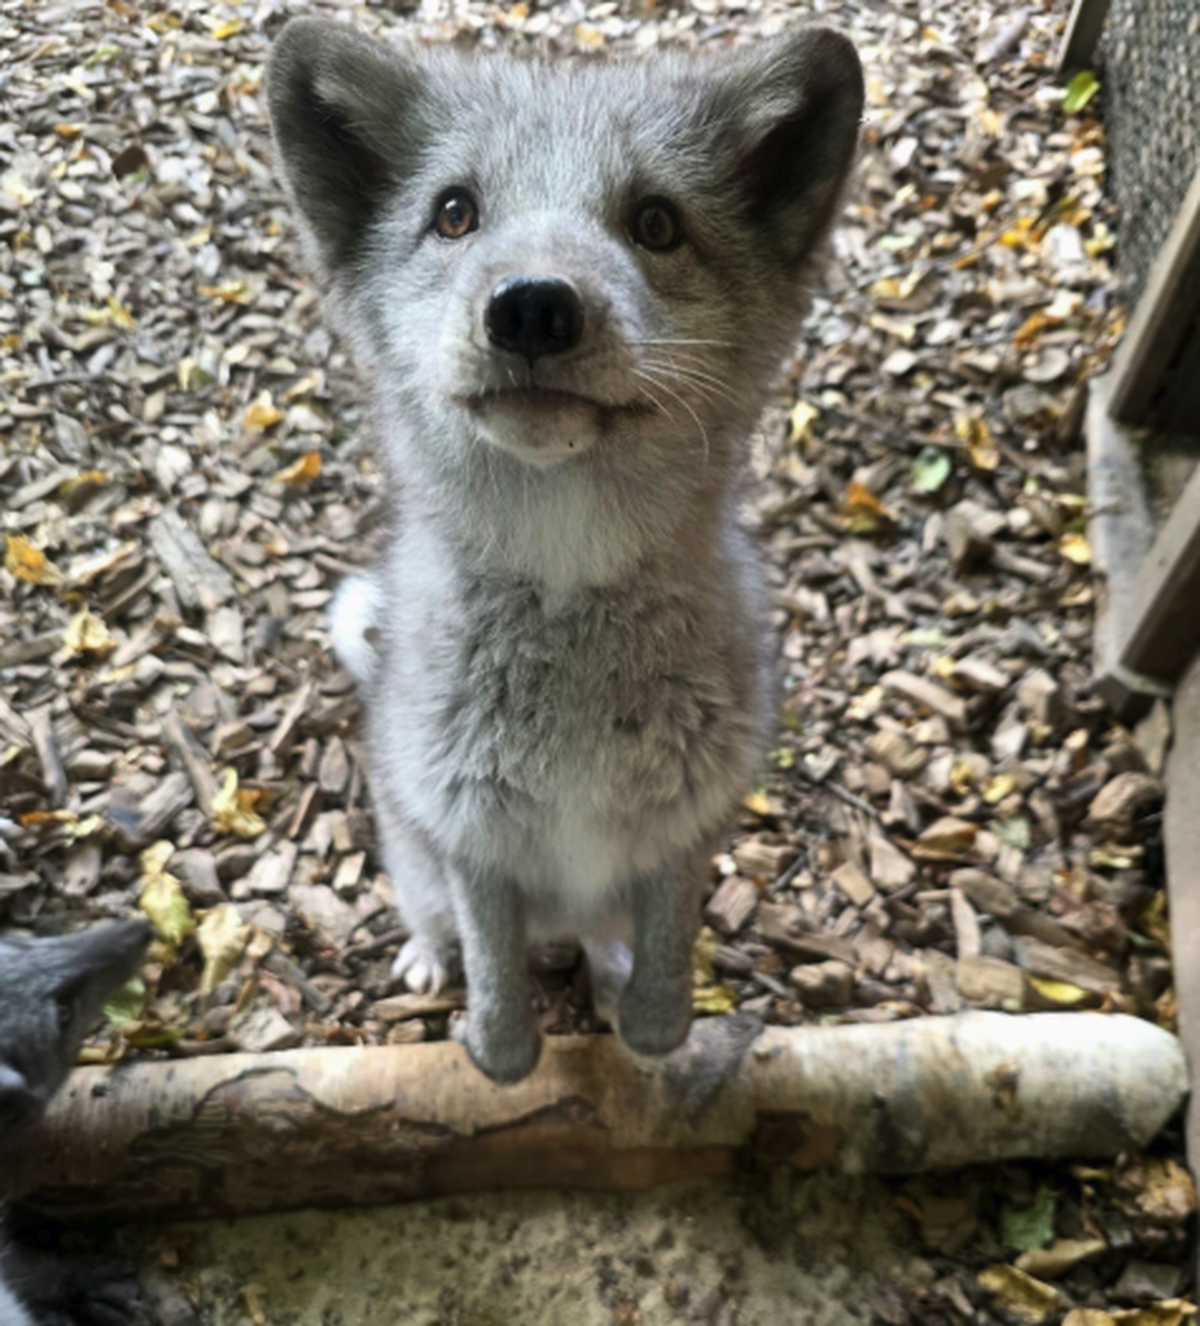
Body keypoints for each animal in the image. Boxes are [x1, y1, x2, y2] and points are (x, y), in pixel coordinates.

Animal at [268, 17, 863, 1083]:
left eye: (657, 223)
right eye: (454, 213)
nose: (533, 308)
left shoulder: (684, 837)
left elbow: (671, 953)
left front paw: (654, 1035)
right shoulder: (475, 850)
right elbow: (495, 973)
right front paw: (500, 1057)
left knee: (596, 938)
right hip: (416, 862)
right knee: (439, 925)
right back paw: (429, 962)